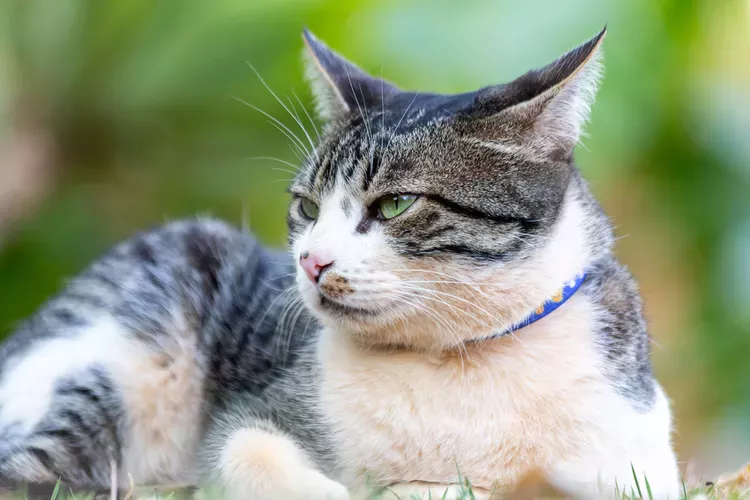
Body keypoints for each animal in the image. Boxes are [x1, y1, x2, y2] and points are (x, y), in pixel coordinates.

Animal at [0, 28, 684, 500]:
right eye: (307, 207)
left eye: (396, 203)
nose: (310, 260)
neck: (453, 363)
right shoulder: (254, 413)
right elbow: (244, 451)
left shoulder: (634, 464)